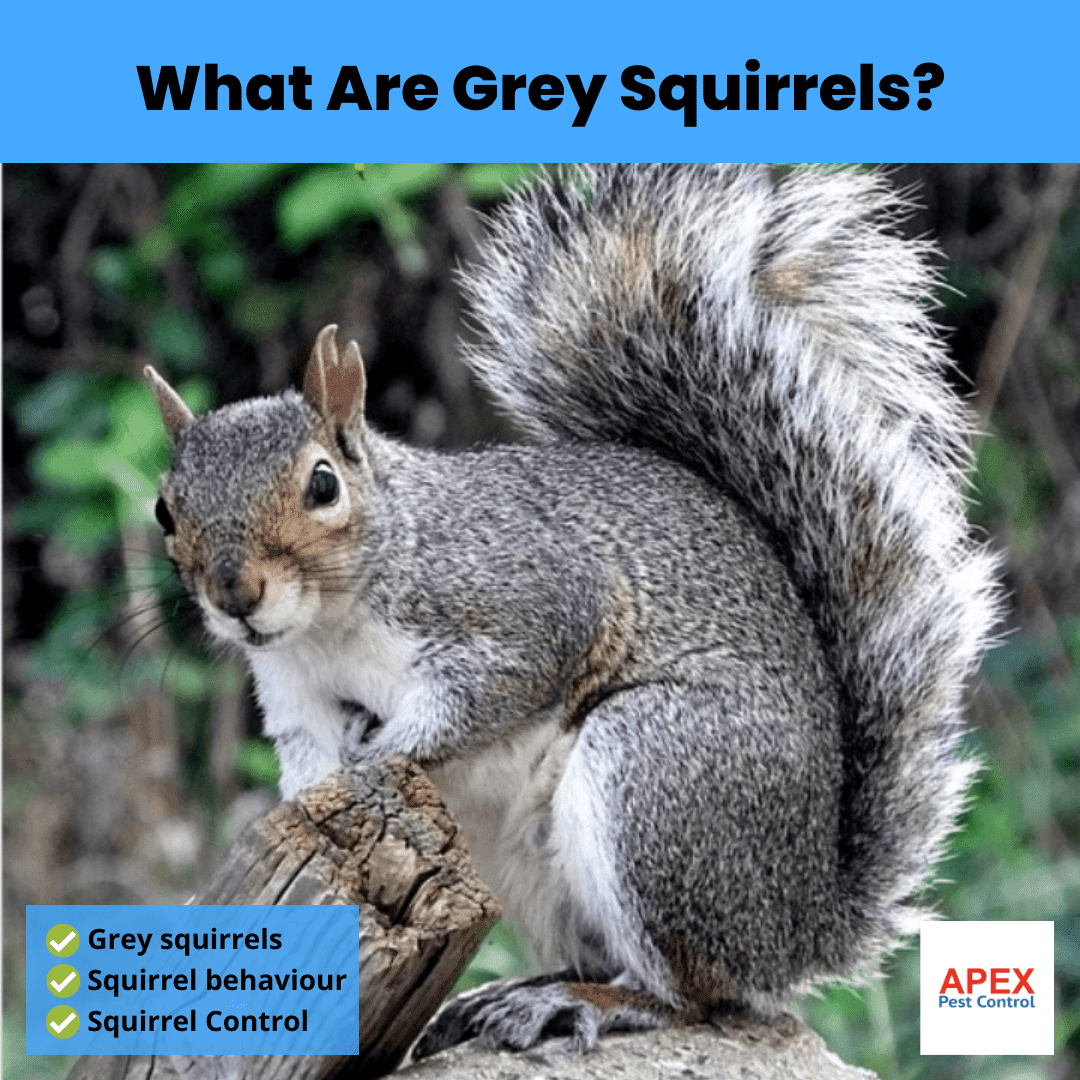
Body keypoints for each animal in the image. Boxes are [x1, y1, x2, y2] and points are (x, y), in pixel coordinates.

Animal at [145, 164, 999, 1055]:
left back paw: (595, 1001)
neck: (331, 625)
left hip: (658, 776)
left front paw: (385, 754)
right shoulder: (296, 700)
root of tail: (801, 925)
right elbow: (311, 770)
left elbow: (482, 697)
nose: (235, 595)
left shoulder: (534, 606)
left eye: (322, 484)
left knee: (698, 995)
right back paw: (516, 992)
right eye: (165, 509)